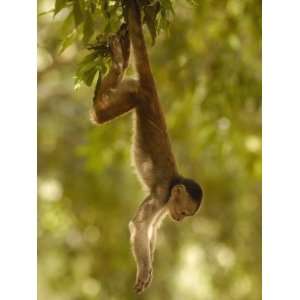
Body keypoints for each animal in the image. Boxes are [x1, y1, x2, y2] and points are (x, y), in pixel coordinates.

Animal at [91, 0, 203, 294]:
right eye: (184, 213)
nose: (180, 220)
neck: (175, 181)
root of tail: (153, 94)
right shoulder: (162, 195)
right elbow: (139, 226)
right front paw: (144, 269)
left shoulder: (166, 204)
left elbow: (151, 230)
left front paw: (149, 263)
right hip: (137, 94)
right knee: (98, 115)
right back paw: (118, 62)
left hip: (134, 88)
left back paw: (122, 56)